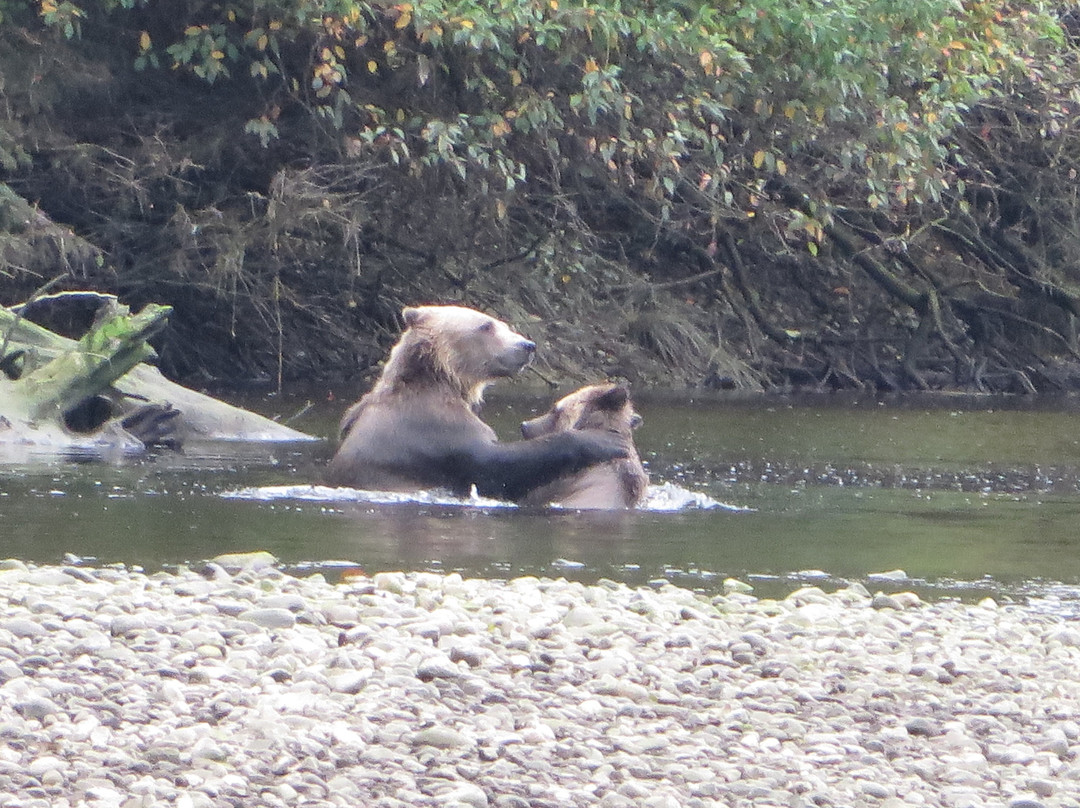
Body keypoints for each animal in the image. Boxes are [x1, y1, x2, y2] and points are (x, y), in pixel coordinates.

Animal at [324, 305, 628, 500]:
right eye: (486, 325)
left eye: (503, 324)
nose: (526, 346)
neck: (441, 381)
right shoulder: (432, 430)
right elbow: (495, 465)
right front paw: (606, 441)